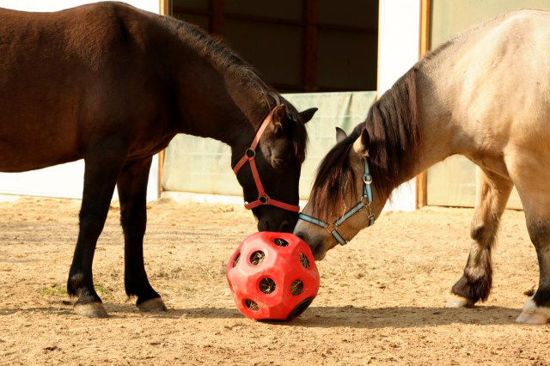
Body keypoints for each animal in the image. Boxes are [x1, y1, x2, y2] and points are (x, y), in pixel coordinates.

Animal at [0, 2, 316, 318]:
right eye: (280, 160)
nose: (286, 226)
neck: (154, 64)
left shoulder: (136, 161)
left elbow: (135, 222)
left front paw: (145, 292)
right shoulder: (105, 153)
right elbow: (92, 218)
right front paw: (85, 293)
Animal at [296, 9, 550, 324]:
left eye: (336, 188)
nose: (301, 236)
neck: (479, 76)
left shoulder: (526, 166)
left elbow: (539, 233)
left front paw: (540, 304)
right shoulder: (492, 171)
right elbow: (481, 226)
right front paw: (465, 289)